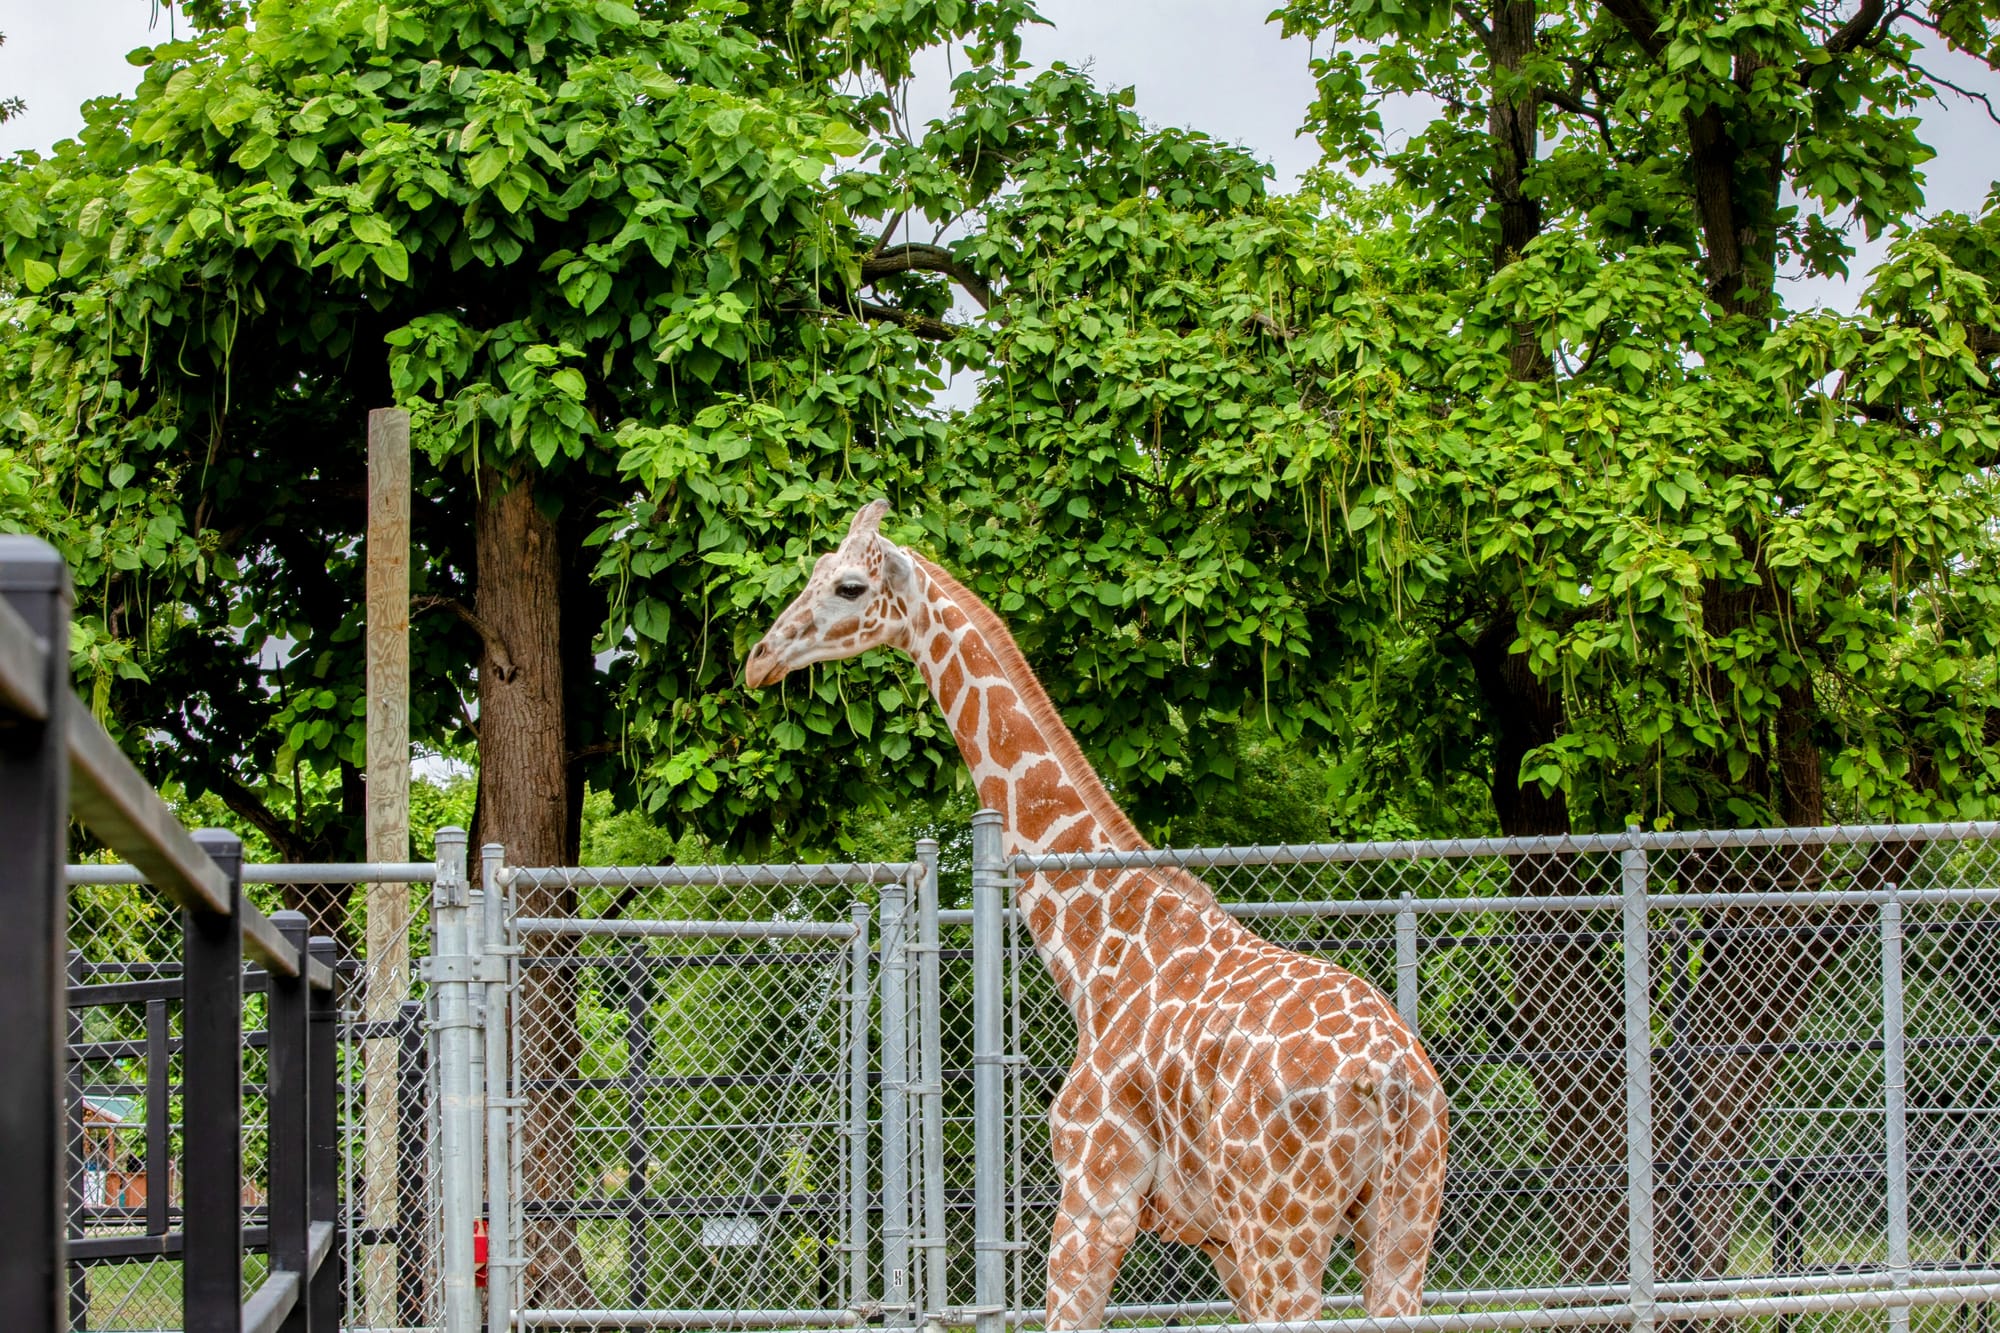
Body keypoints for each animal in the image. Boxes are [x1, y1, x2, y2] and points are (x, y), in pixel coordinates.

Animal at [744, 504, 1448, 1320]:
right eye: (815, 571)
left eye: (849, 586)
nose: (760, 658)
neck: (1096, 954)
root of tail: (1394, 1082)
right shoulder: (1216, 1237)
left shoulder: (1093, 1196)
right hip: (1401, 1224)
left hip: (1285, 1225)